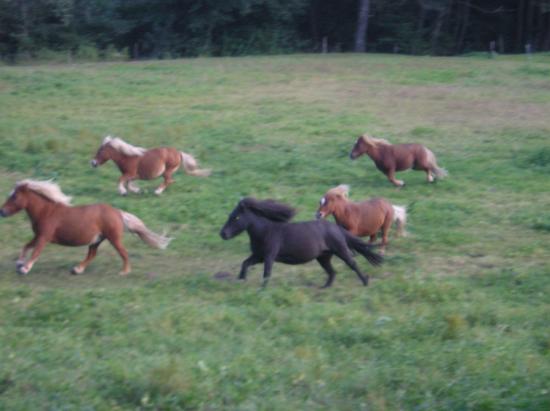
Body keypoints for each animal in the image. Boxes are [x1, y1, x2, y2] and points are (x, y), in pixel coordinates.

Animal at [0, 181, 171, 276]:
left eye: (14, 196)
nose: (2, 212)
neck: (46, 212)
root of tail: (117, 212)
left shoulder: (44, 237)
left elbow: (35, 252)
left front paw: (24, 269)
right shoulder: (38, 235)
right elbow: (26, 246)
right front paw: (19, 264)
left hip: (113, 238)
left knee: (123, 252)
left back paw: (124, 272)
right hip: (96, 240)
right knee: (92, 255)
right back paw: (77, 270)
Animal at [220, 198, 384, 288]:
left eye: (236, 217)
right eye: (230, 215)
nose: (222, 234)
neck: (265, 231)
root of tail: (336, 228)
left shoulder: (268, 256)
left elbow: (266, 273)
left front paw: (262, 289)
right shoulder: (258, 256)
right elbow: (245, 263)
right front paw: (241, 279)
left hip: (341, 250)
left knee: (352, 264)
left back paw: (365, 282)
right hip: (323, 257)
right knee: (332, 272)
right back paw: (324, 288)